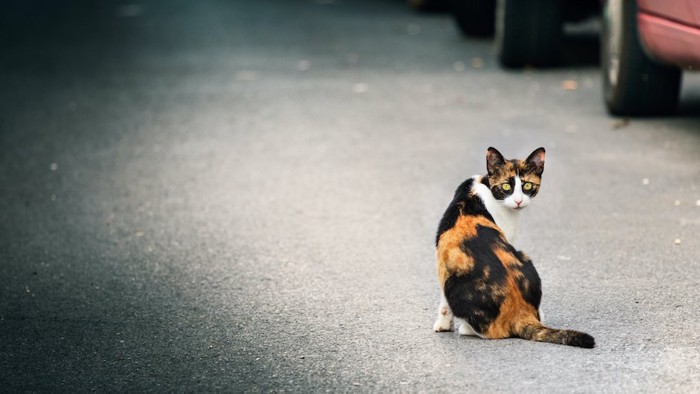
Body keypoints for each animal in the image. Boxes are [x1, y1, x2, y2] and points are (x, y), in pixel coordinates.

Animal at [434, 147, 592, 348]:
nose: (518, 201)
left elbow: (443, 303)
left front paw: (443, 325)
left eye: (527, 186)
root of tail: (520, 312)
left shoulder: (444, 263)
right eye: (506, 187)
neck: (482, 187)